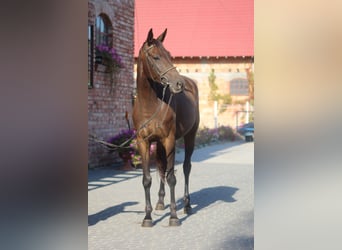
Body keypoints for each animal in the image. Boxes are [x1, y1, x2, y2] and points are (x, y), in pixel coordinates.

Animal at [132, 28, 199, 227]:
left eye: (169, 55)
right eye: (155, 57)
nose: (179, 84)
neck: (150, 105)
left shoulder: (169, 140)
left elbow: (171, 177)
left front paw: (174, 217)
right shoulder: (144, 142)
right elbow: (147, 179)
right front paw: (147, 217)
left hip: (189, 137)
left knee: (185, 167)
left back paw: (187, 205)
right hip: (159, 145)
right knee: (161, 168)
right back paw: (161, 203)